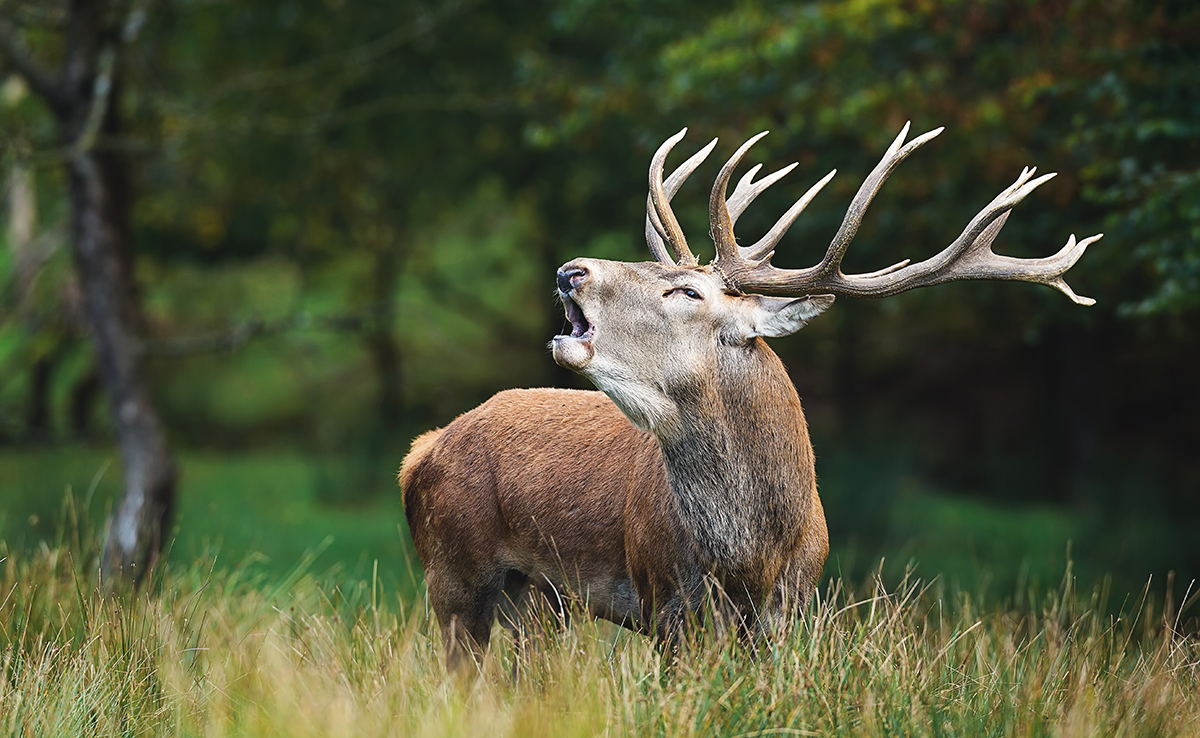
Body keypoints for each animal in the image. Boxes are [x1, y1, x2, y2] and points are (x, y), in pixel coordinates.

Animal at [400, 124, 1099, 672]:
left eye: (685, 290)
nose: (572, 270)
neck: (750, 553)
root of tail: (423, 450)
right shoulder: (664, 599)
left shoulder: (789, 609)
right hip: (453, 571)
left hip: (537, 600)